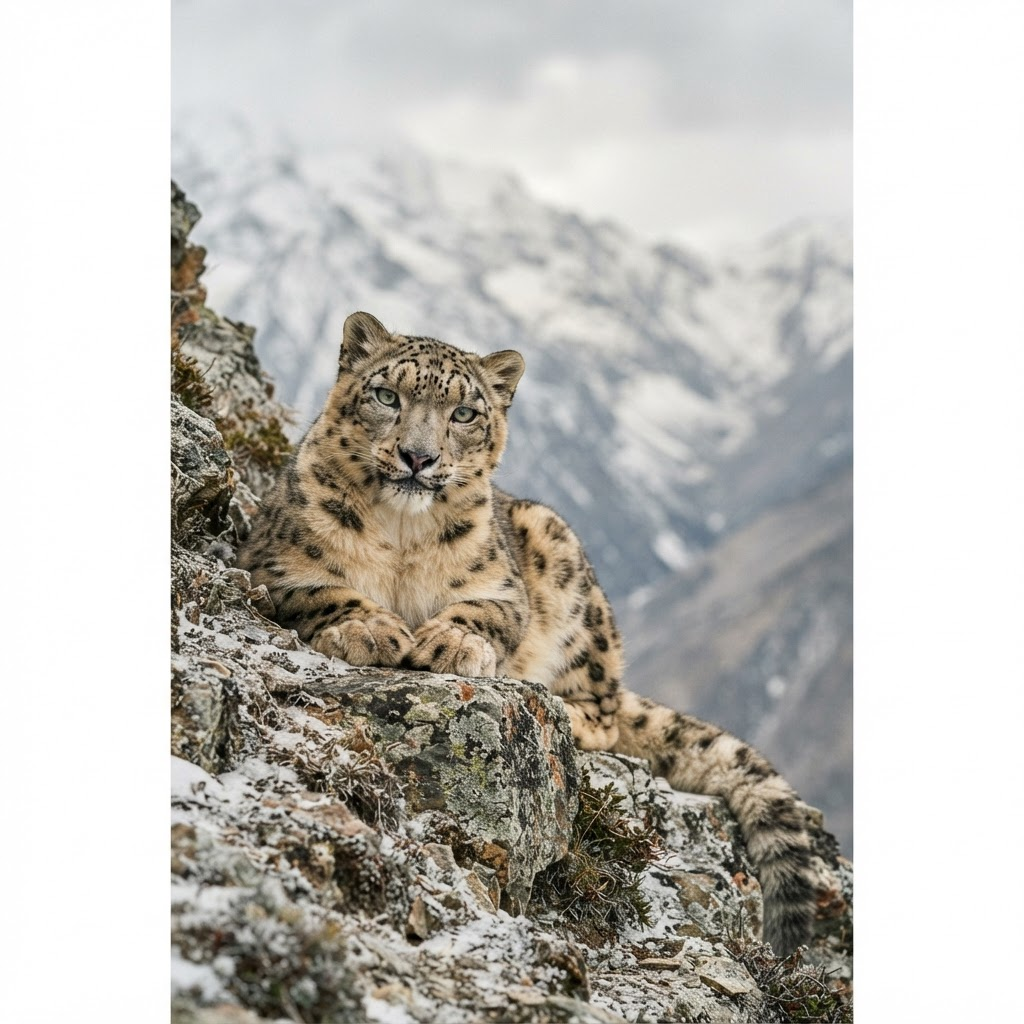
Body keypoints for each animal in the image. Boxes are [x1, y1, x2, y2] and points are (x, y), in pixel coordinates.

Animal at [237, 310, 819, 953]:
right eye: (387, 396)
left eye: (464, 413)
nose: (418, 457)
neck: (402, 536)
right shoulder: (273, 566)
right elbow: (326, 592)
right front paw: (370, 627)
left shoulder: (504, 590)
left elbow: (483, 614)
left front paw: (450, 643)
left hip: (562, 561)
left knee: (605, 712)